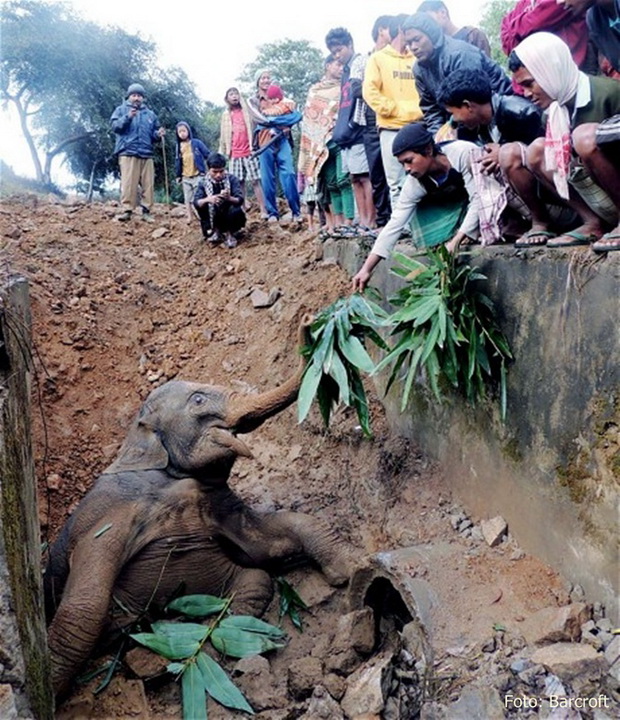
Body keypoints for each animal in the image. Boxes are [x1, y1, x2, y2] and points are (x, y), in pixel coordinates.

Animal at [44, 316, 354, 696]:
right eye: (198, 399)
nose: (310, 321)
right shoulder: (114, 511)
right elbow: (85, 605)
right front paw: (47, 690)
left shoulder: (218, 501)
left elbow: (267, 542)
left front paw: (349, 571)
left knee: (255, 580)